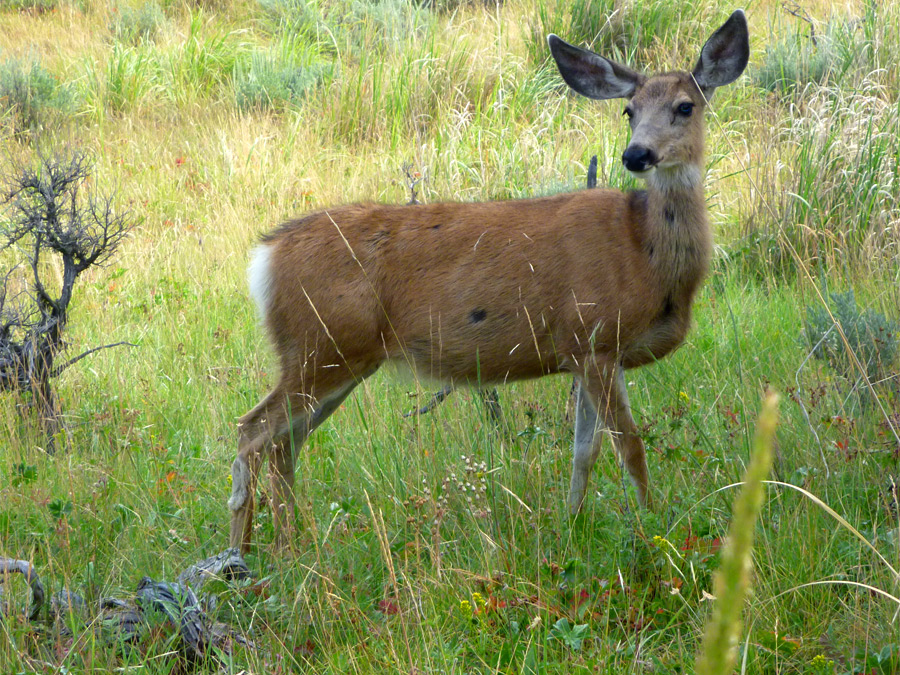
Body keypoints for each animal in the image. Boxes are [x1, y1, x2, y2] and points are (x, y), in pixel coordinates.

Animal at [229, 10, 748, 552]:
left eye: (685, 106)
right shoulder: (595, 335)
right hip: (320, 347)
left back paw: (290, 548)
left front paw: (572, 526)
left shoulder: (587, 352)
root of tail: (265, 257)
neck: (645, 254)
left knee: (285, 445)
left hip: (336, 359)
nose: (637, 154)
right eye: (629, 110)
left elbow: (583, 453)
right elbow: (631, 447)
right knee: (251, 433)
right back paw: (243, 554)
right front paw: (657, 528)